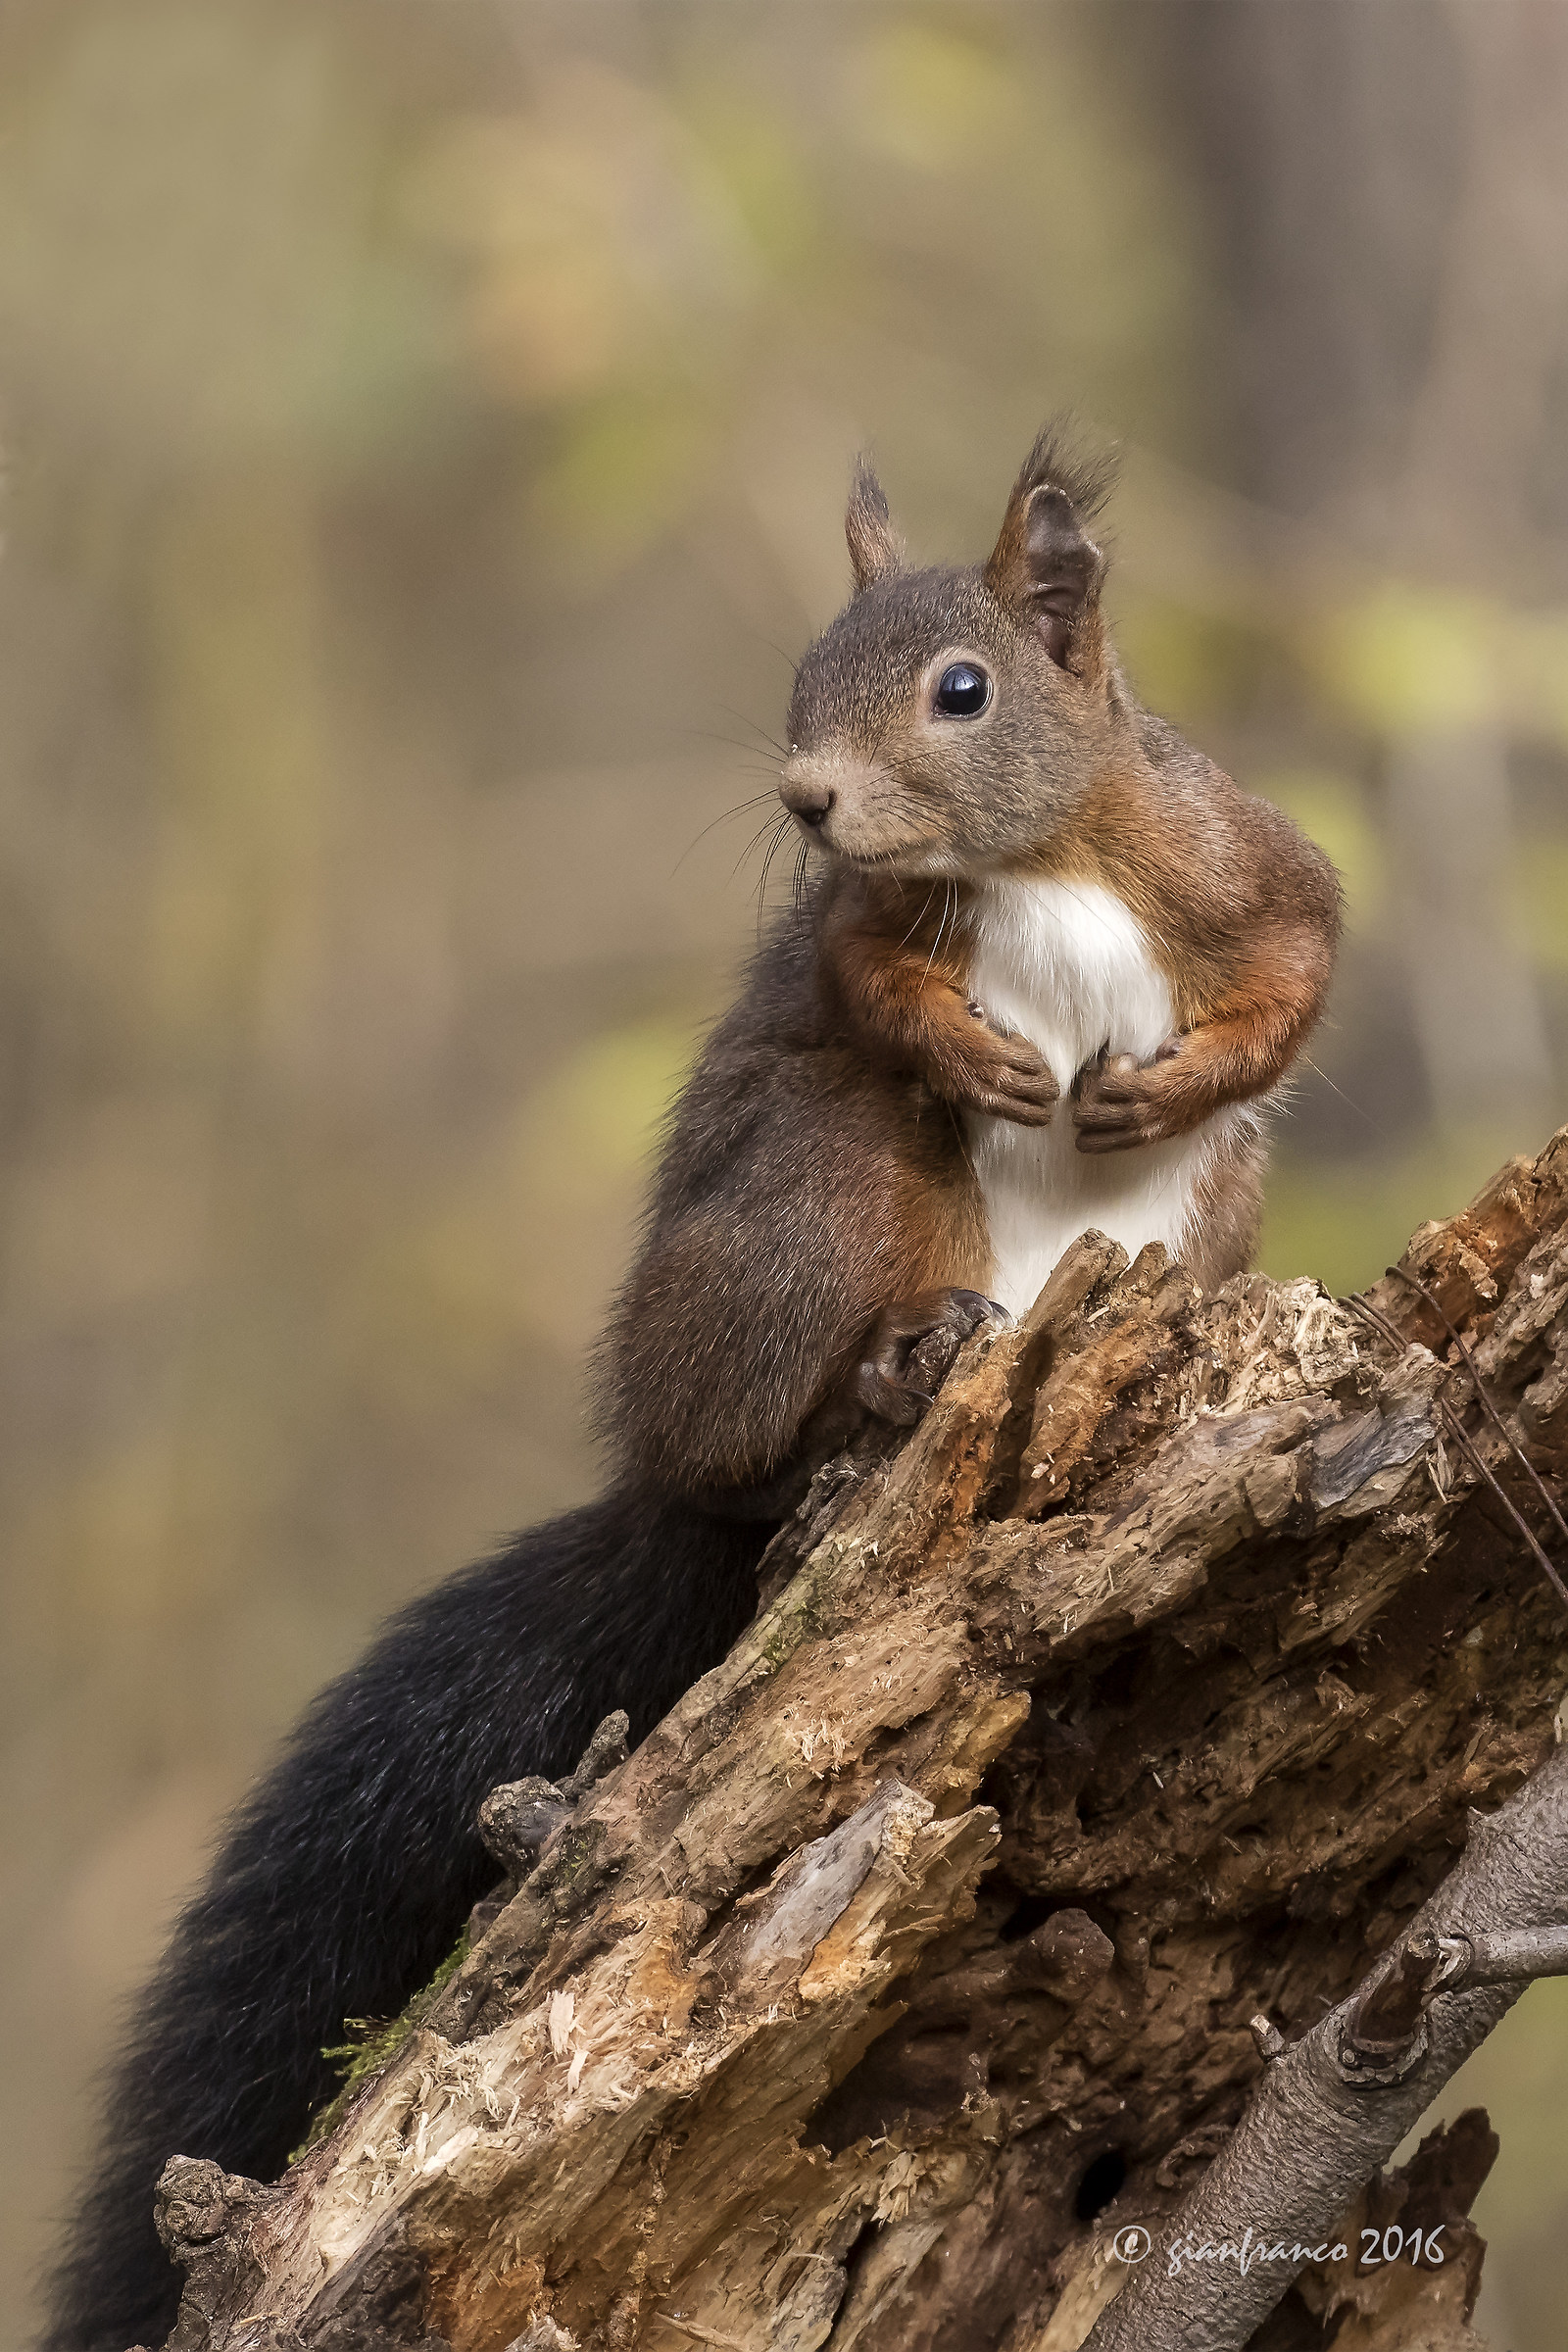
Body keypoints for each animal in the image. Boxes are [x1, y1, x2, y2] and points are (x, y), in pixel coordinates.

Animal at [45, 427, 1338, 2352]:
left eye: (963, 689)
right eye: (801, 674)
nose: (806, 798)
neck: (1044, 859)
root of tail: (656, 1476)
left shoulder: (1235, 855)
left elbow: (1304, 964)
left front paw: (1163, 1083)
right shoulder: (855, 929)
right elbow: (864, 979)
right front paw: (974, 1049)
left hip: (1188, 1222)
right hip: (825, 1192)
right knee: (768, 1426)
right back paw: (884, 1374)